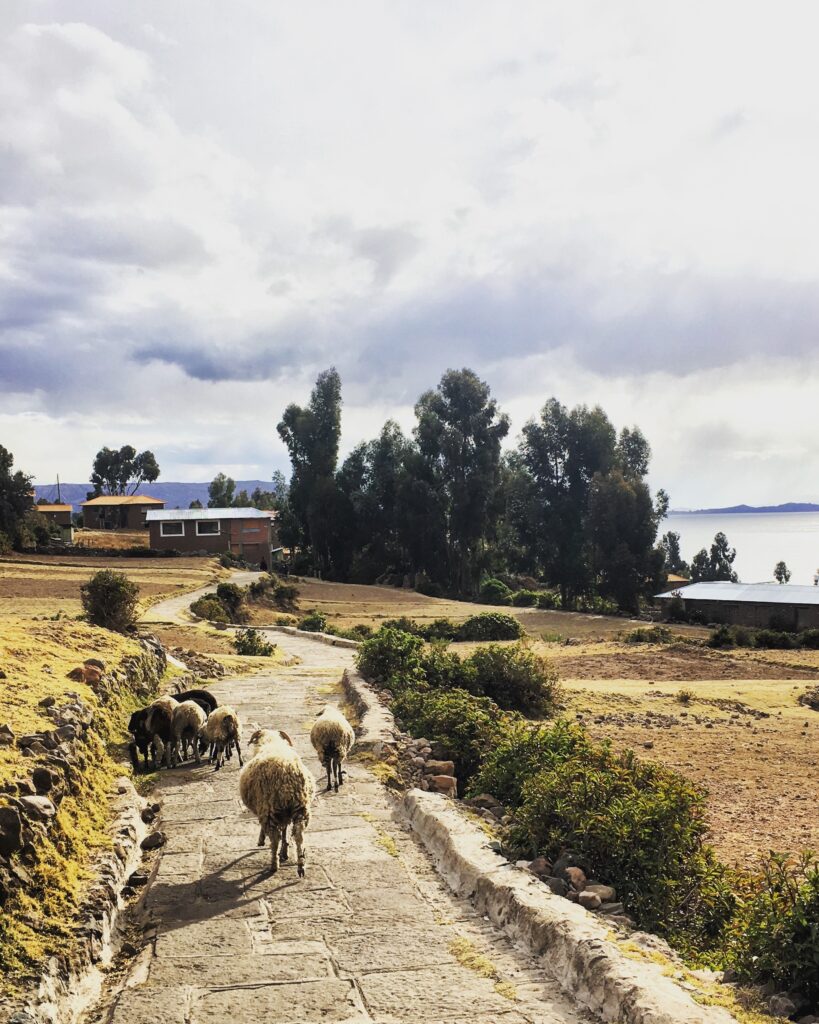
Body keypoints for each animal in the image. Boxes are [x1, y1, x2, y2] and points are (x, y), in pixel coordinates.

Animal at [238, 724, 315, 876]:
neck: (271, 742)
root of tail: (287, 775)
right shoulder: (284, 814)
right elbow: (284, 831)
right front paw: (284, 852)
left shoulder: (264, 808)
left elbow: (273, 832)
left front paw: (261, 840)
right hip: (300, 808)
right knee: (299, 835)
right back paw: (301, 864)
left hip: (269, 808)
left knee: (274, 839)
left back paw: (274, 864)